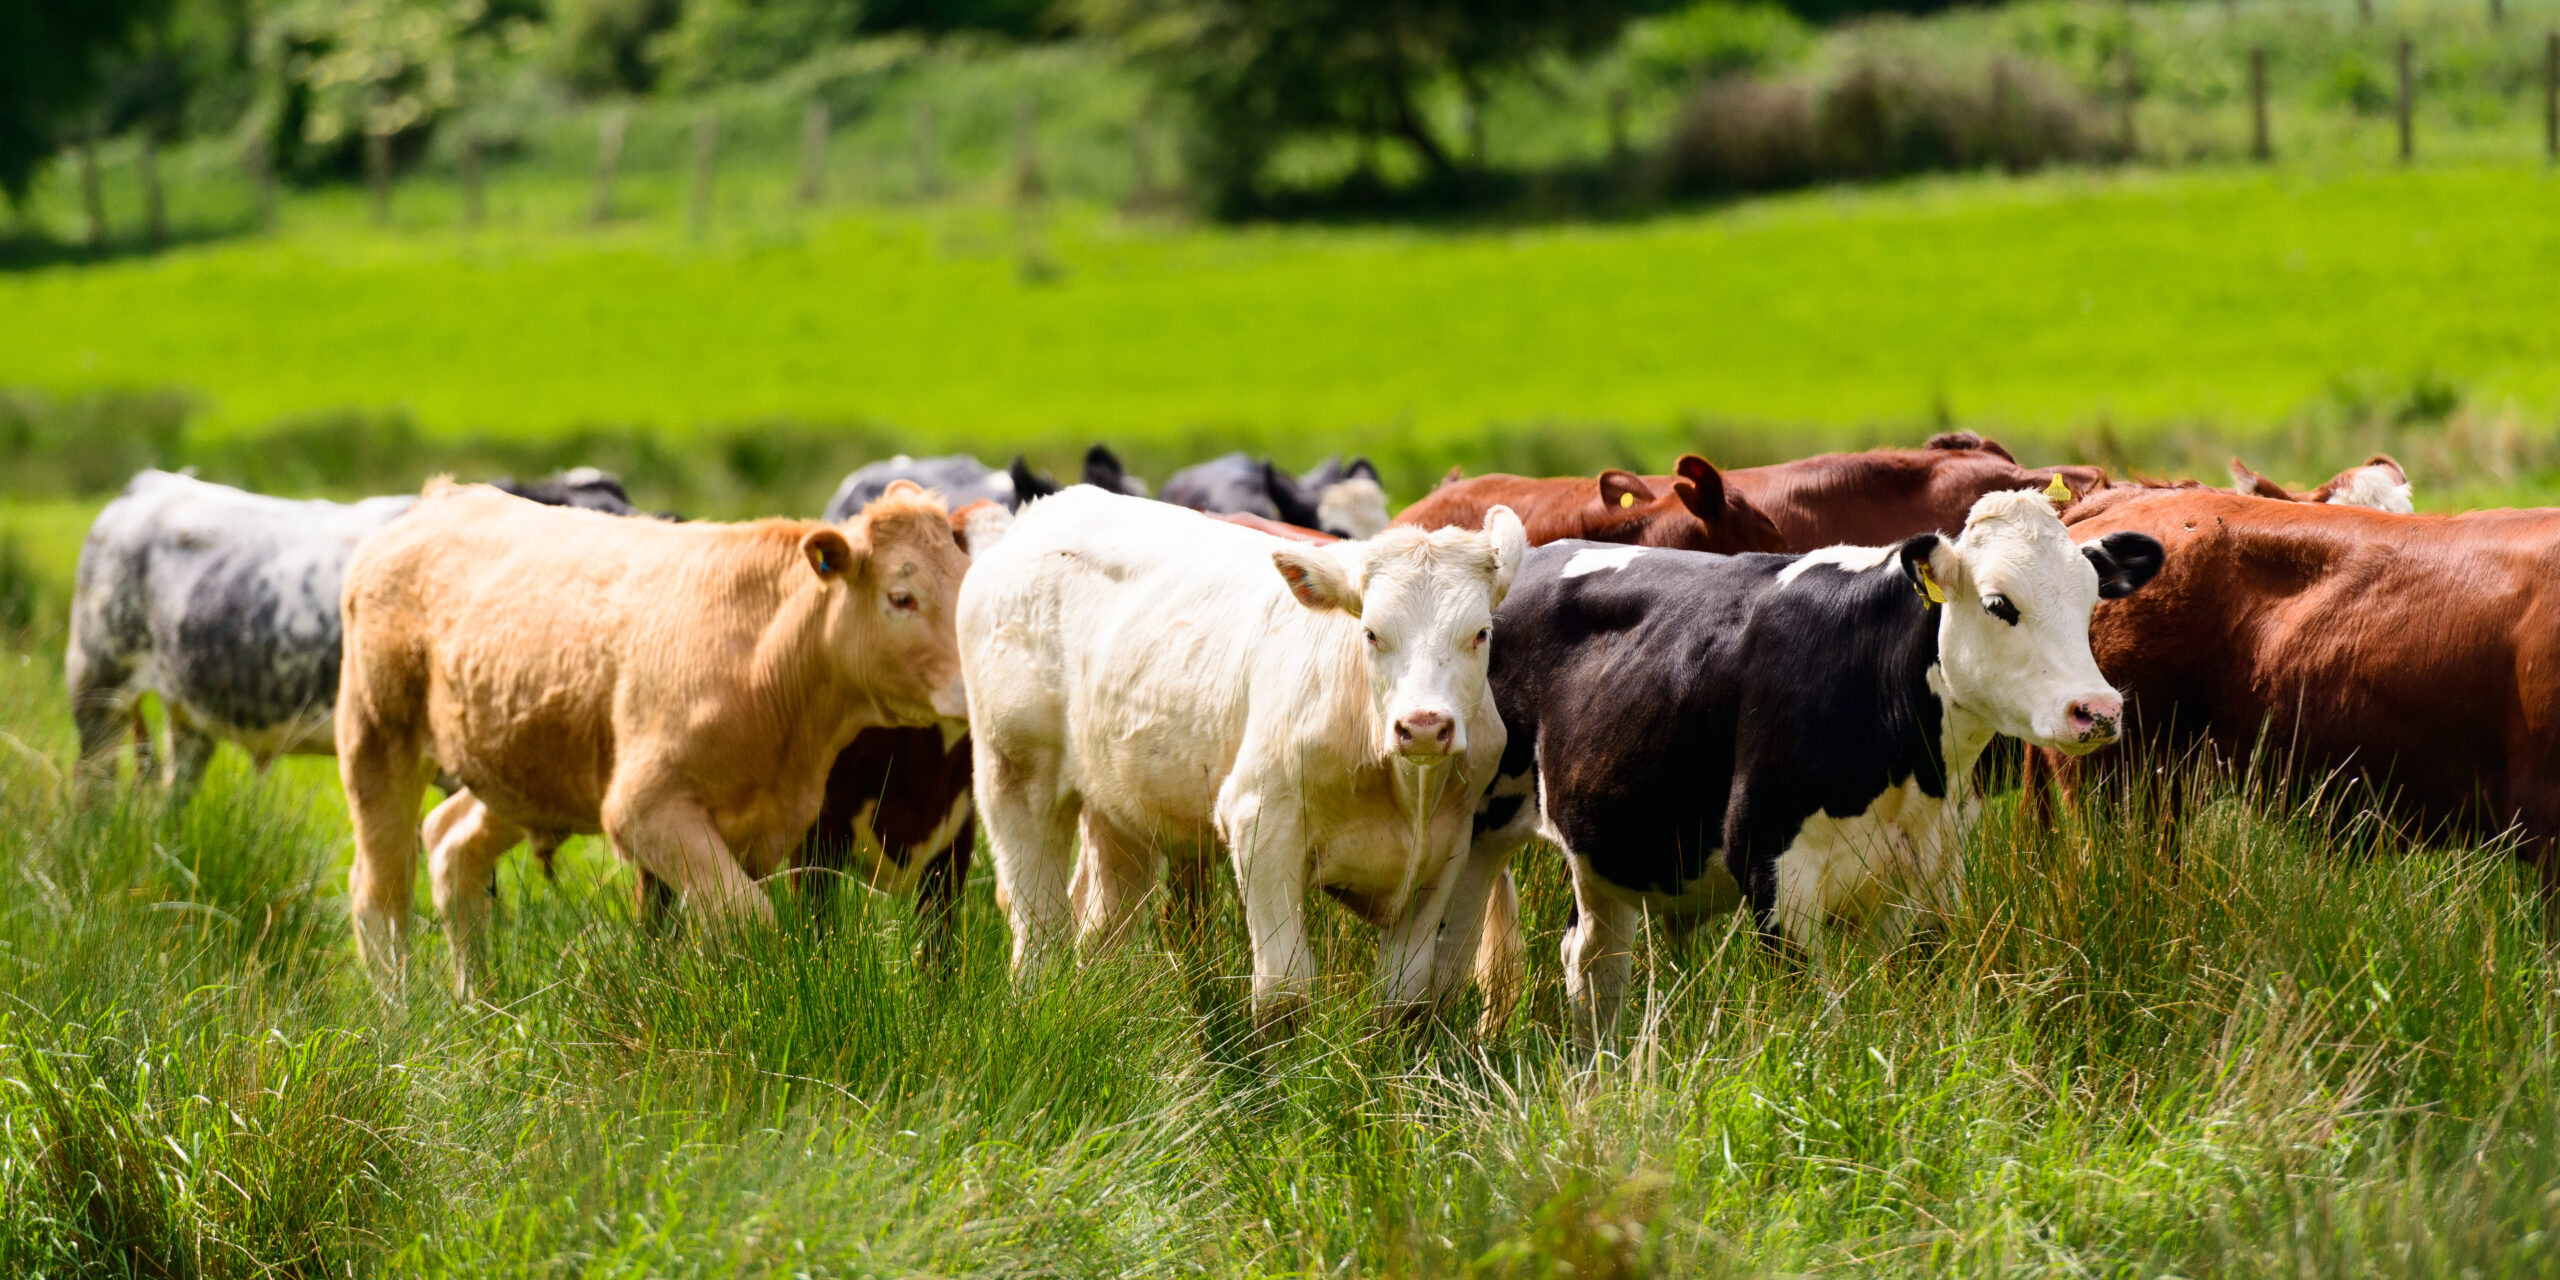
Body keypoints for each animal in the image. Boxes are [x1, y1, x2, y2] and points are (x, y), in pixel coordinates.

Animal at [337, 480, 971, 998]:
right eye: (902, 597)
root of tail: (444, 496)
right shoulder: (644, 807)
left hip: (524, 770)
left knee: (450, 843)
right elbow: (747, 916)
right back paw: (400, 1018)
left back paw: (479, 1004)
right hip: (376, 737)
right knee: (379, 891)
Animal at [960, 489, 1527, 1029]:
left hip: (1120, 810)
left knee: (1099, 930)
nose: (1424, 725)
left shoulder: (1448, 850)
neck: (1406, 791)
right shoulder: (1261, 820)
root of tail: (1045, 510)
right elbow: (1284, 993)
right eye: (1371, 632)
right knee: (1038, 933)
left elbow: (1404, 1000)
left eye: (1481, 633)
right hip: (1013, 775)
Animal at [1468, 491, 2162, 1040]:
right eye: (1999, 604)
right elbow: (1821, 1019)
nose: (2097, 710)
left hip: (1604, 855)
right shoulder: (1770, 866)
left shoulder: (1925, 875)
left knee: (1591, 963)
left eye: (2091, 599)